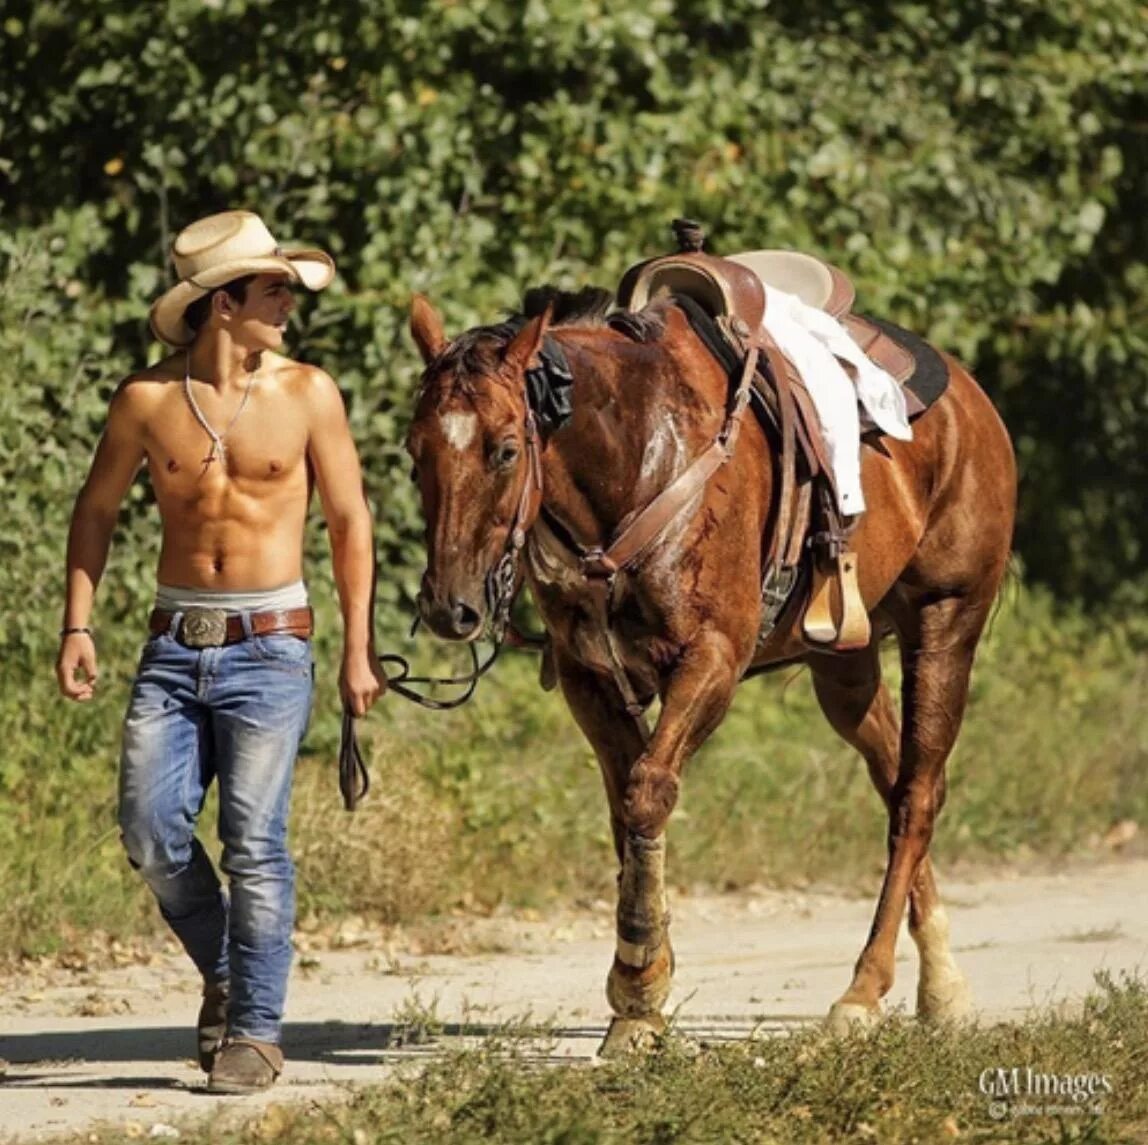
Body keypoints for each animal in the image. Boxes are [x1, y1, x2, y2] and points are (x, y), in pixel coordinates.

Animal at [408, 288, 1019, 1056]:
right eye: (415, 452)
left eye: (507, 449)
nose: (448, 606)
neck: (638, 460)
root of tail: (973, 401)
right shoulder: (590, 679)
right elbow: (625, 809)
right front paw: (646, 994)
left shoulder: (713, 661)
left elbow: (648, 791)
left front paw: (637, 984)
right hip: (844, 664)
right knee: (900, 781)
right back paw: (942, 982)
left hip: (946, 623)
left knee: (915, 798)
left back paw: (864, 991)